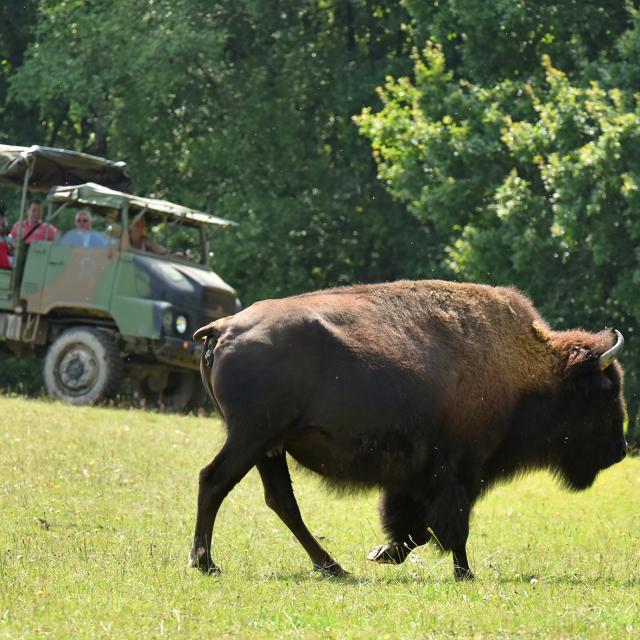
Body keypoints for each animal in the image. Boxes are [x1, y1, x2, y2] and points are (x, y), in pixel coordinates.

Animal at [189, 280, 624, 580]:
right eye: (604, 392)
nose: (620, 449)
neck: (522, 366)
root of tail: (223, 327)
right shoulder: (459, 471)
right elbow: (450, 524)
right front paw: (464, 574)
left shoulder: (419, 477)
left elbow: (415, 525)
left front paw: (384, 553)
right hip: (251, 438)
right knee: (214, 481)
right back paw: (205, 562)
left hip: (269, 446)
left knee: (281, 501)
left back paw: (333, 567)